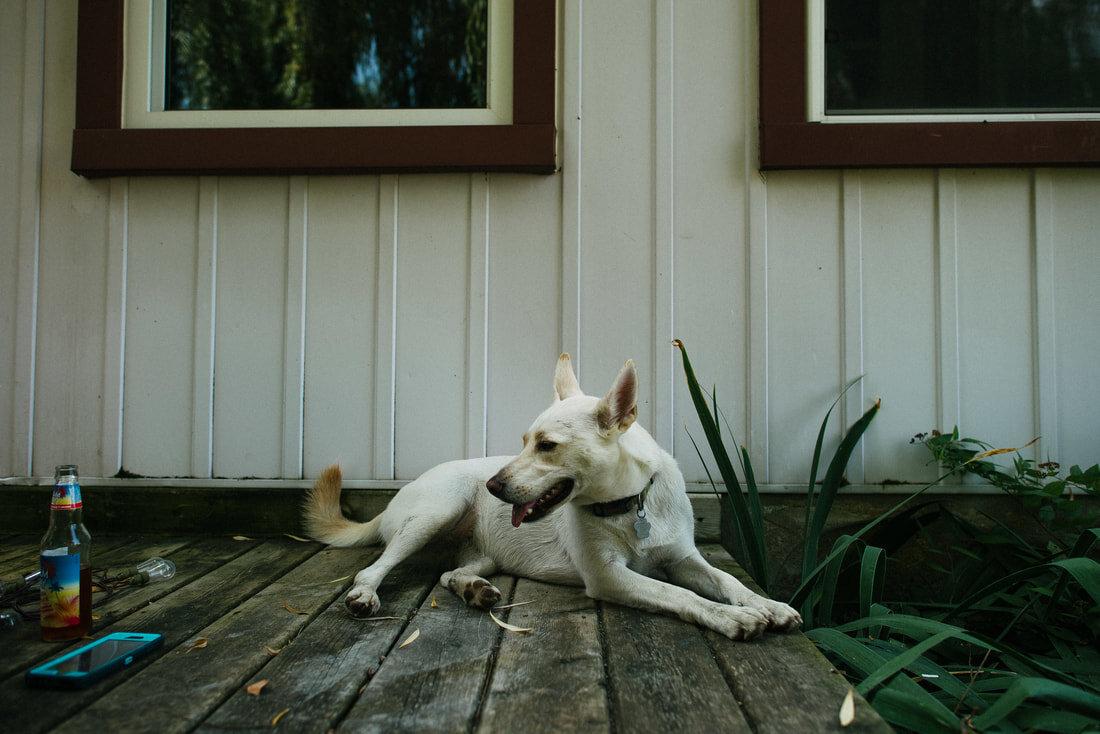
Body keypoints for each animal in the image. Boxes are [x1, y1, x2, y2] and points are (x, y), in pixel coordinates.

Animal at [305, 354, 805, 638]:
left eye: (546, 445)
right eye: (524, 441)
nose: (493, 486)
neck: (631, 505)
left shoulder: (684, 559)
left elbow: (729, 583)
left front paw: (769, 605)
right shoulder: (608, 576)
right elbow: (678, 594)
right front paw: (731, 618)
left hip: (482, 553)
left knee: (451, 573)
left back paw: (473, 590)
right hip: (436, 512)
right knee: (374, 566)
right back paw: (364, 595)